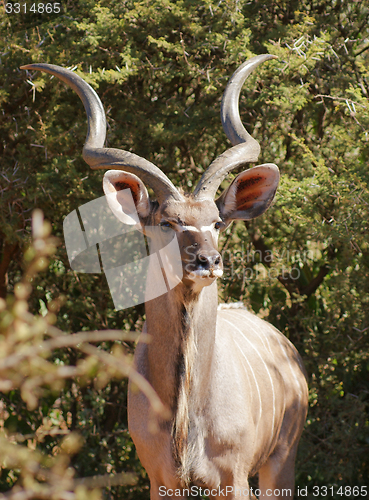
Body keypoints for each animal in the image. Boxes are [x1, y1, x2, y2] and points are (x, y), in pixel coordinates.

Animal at [22, 55, 308, 500]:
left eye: (218, 222)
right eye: (168, 222)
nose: (208, 261)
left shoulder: (235, 475)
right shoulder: (161, 478)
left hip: (281, 459)